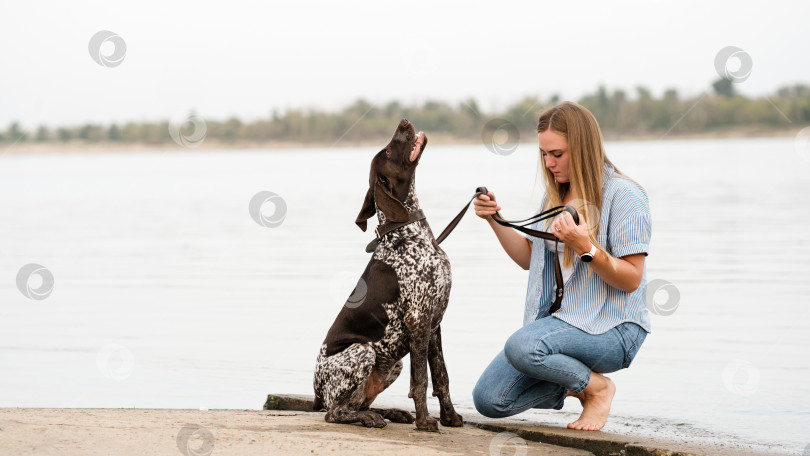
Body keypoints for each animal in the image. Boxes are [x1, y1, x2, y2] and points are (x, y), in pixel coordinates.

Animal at [312, 117, 464, 432]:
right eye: (389, 152)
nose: (404, 121)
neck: (408, 233)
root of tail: (316, 391)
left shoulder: (434, 324)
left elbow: (441, 375)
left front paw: (450, 417)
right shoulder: (419, 319)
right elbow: (421, 380)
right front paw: (425, 421)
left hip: (392, 364)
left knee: (356, 403)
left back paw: (389, 412)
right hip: (364, 351)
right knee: (335, 412)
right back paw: (369, 418)